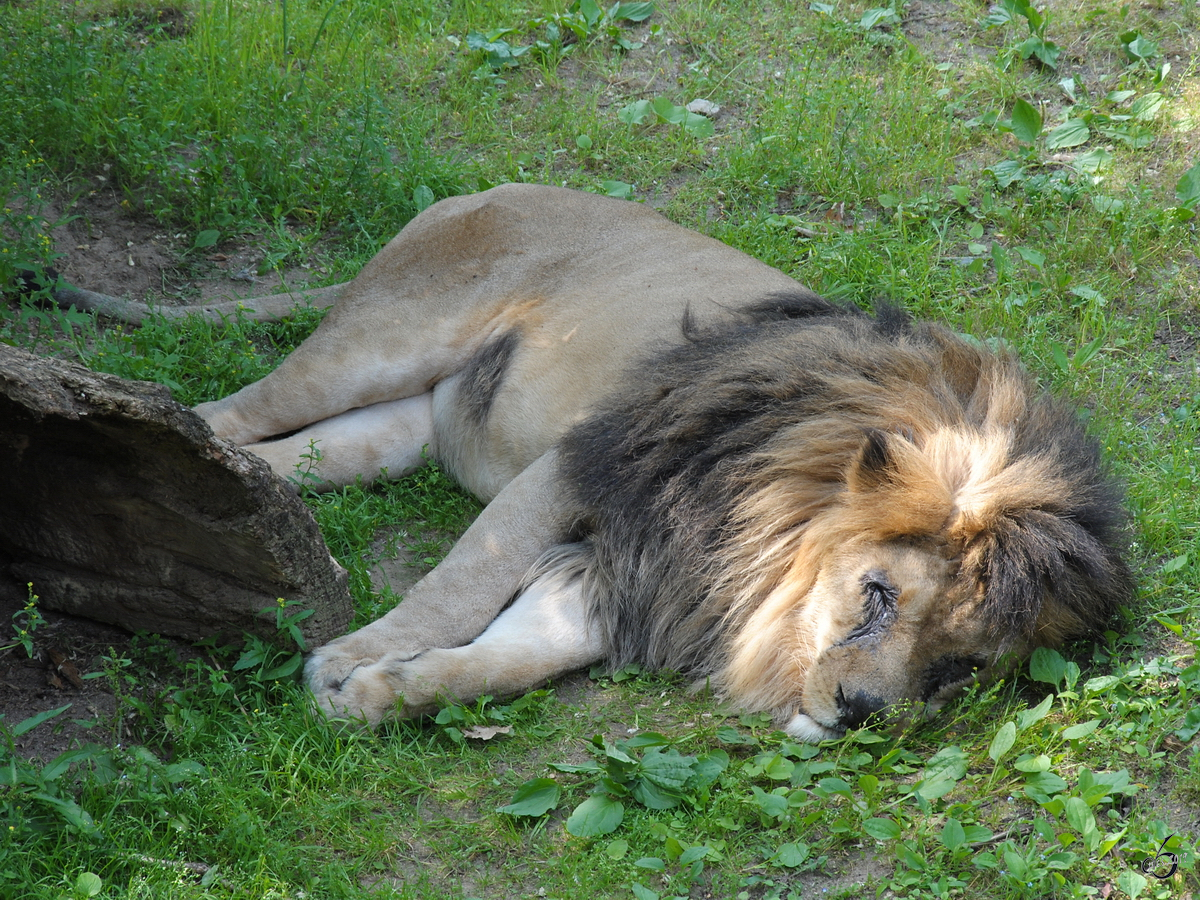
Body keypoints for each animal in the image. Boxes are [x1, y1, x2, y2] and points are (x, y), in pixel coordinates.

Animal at [189, 183, 1132, 739]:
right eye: (878, 594)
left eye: (959, 667)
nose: (862, 714)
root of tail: (493, 184)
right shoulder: (573, 469)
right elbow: (456, 588)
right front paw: (348, 659)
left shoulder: (639, 577)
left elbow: (502, 662)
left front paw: (379, 694)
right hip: (374, 343)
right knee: (224, 412)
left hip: (396, 430)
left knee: (290, 454)